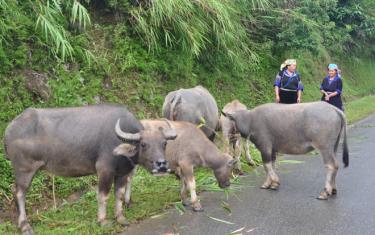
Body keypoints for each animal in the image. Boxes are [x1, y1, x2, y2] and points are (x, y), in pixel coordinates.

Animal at [4, 105, 178, 235]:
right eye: (143, 144)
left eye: (164, 143)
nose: (161, 164)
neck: (119, 142)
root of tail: (10, 129)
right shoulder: (104, 170)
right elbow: (103, 196)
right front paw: (103, 221)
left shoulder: (122, 173)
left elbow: (119, 195)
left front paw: (120, 217)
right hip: (24, 170)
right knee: (19, 193)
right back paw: (25, 225)